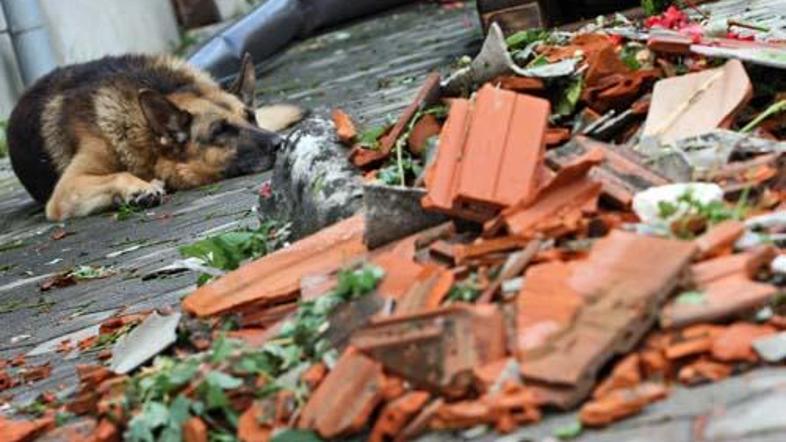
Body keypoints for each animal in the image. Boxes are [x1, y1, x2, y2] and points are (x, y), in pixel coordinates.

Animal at [6, 53, 300, 221]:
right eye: (220, 131)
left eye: (250, 117)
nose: (281, 143)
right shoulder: (66, 190)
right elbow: (120, 174)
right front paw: (140, 189)